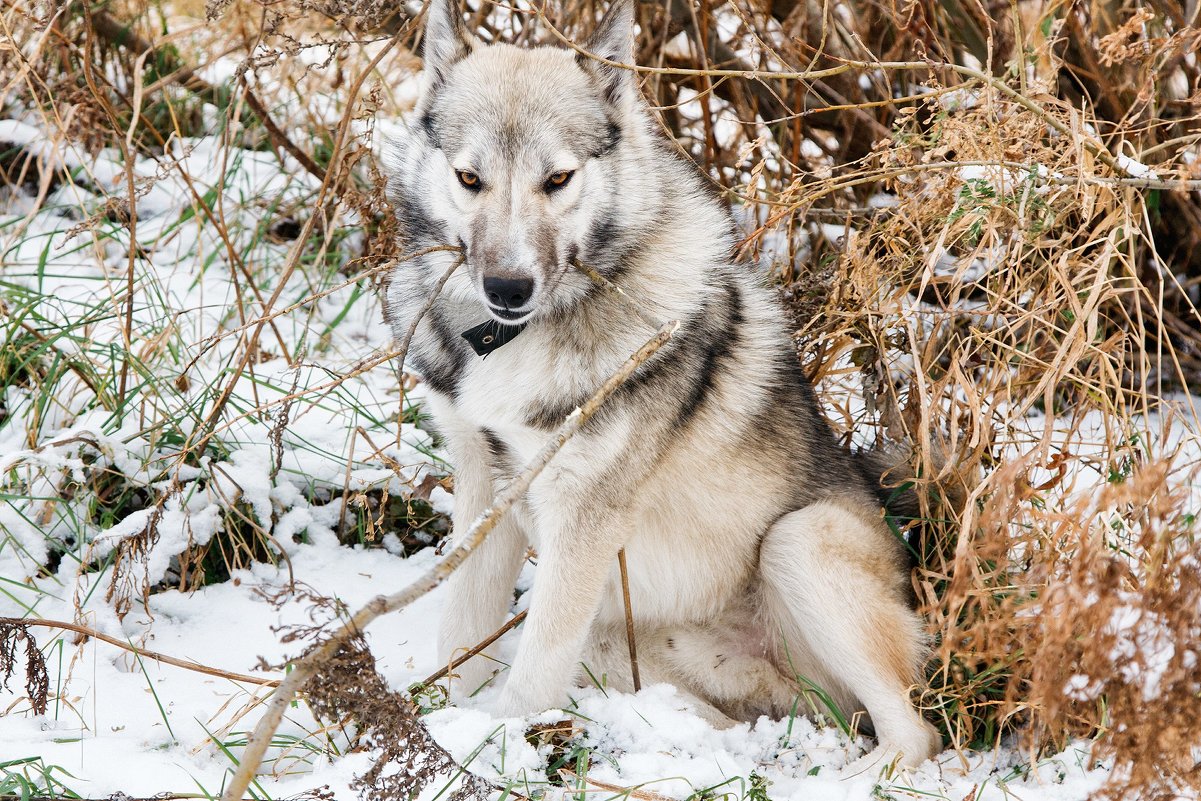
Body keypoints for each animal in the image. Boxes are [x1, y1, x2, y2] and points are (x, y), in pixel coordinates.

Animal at [379, 0, 941, 768]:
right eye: (469, 179)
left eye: (558, 179)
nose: (508, 288)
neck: (518, 340)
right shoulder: (485, 486)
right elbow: (462, 634)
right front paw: (445, 721)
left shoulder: (582, 518)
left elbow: (530, 674)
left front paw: (491, 748)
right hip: (618, 644)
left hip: (794, 543)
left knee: (914, 735)